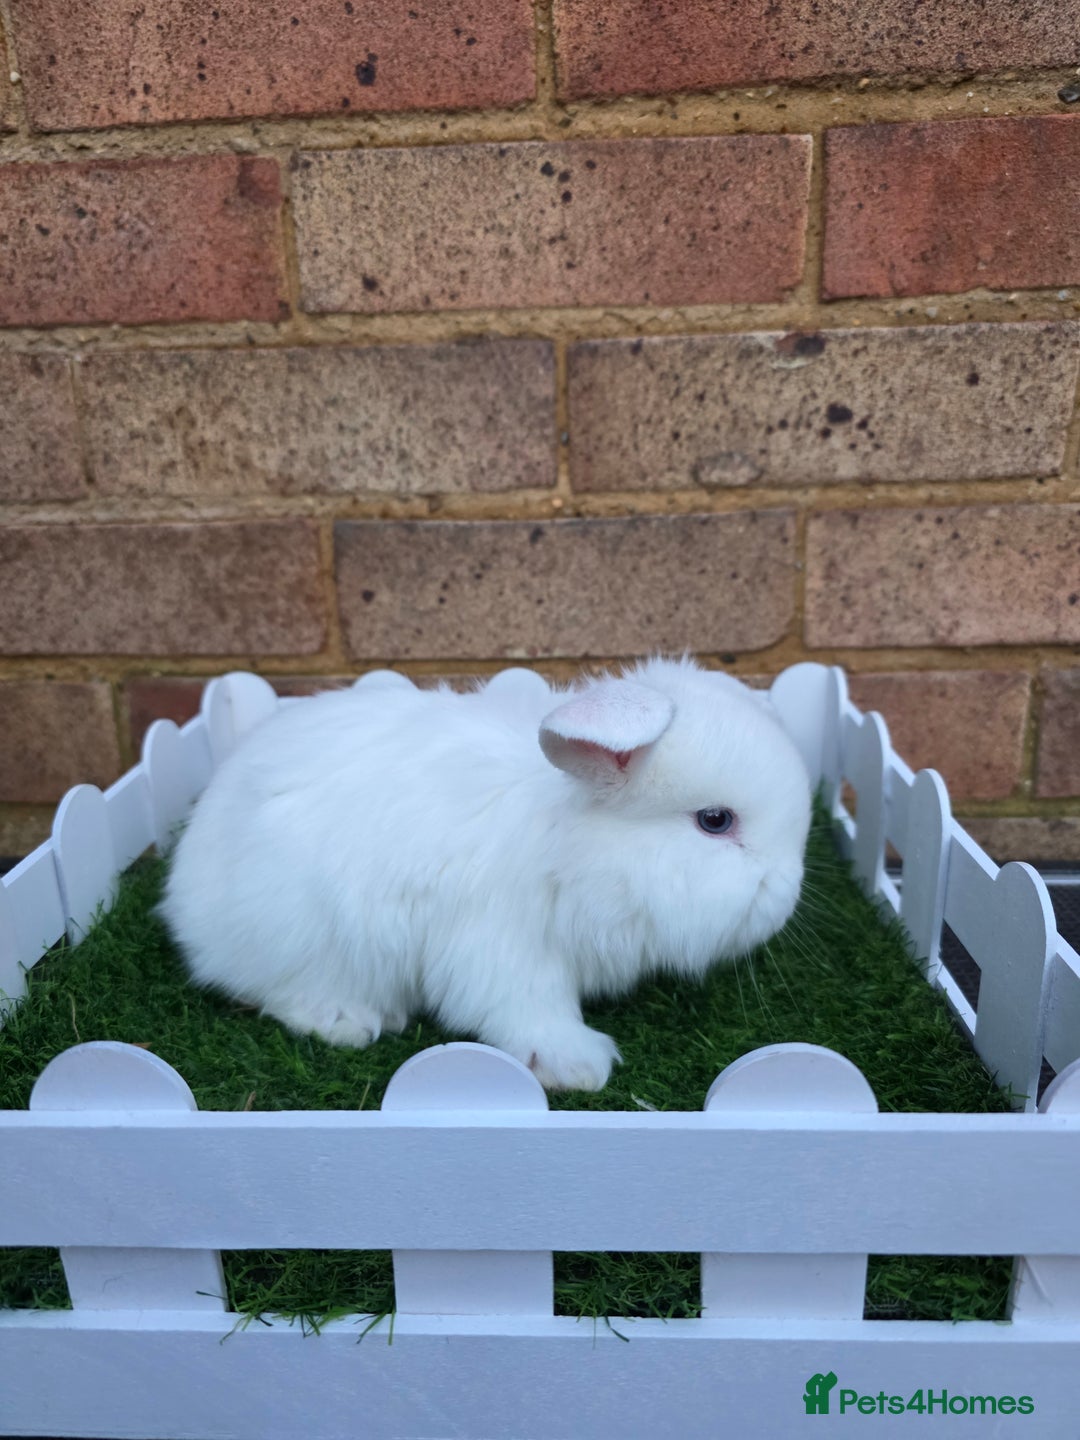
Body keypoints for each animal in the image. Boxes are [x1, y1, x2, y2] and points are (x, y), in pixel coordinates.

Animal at [160, 657, 811, 1091]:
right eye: (715, 821)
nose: (787, 895)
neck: (572, 845)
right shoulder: (502, 947)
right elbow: (527, 1009)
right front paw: (579, 1065)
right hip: (305, 938)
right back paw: (352, 1020)